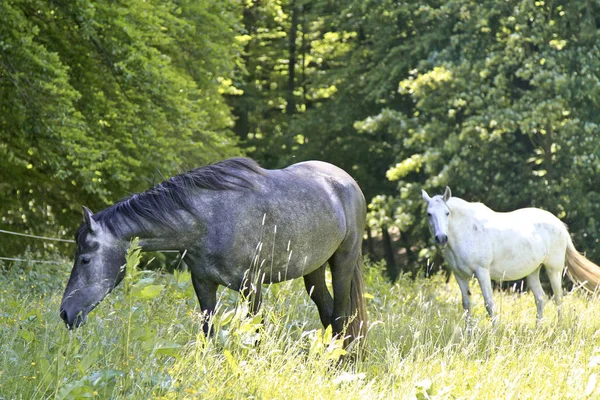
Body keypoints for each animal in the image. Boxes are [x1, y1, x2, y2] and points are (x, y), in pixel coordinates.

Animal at [59, 158, 366, 346]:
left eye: (85, 259)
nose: (64, 313)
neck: (208, 220)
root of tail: (348, 181)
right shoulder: (203, 284)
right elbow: (208, 332)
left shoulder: (252, 286)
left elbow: (257, 332)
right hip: (313, 270)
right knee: (327, 315)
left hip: (342, 262)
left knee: (340, 317)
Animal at [422, 187, 600, 322]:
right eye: (429, 214)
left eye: (447, 213)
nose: (441, 238)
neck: (466, 231)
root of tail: (559, 224)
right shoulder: (460, 276)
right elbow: (466, 306)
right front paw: (469, 337)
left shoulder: (482, 272)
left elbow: (489, 304)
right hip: (533, 272)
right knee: (540, 299)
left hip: (553, 270)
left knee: (558, 298)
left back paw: (559, 328)